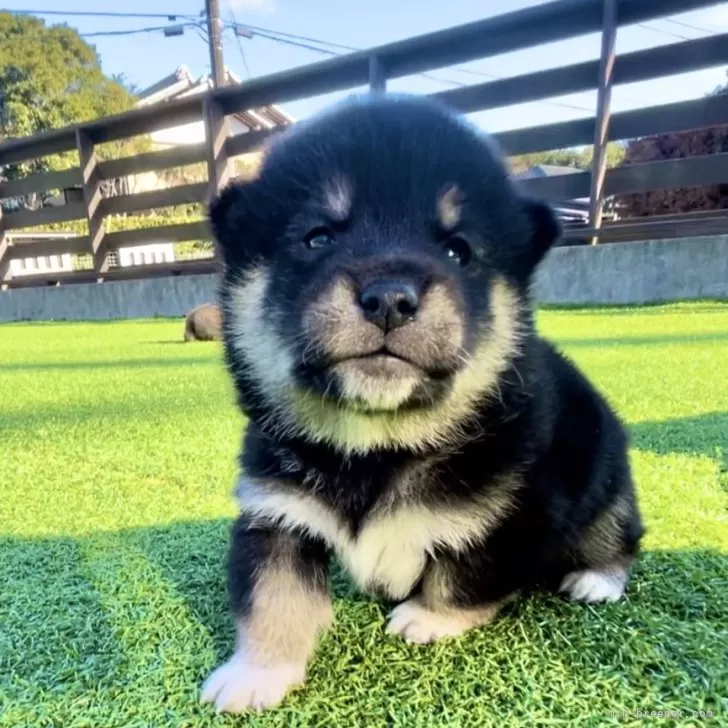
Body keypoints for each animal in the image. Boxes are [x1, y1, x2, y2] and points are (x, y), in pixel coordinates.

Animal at [199, 94, 644, 712]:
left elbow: (465, 575)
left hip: (605, 478)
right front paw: (255, 673)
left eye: (458, 250)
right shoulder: (276, 514)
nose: (390, 296)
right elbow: (272, 596)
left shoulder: (515, 516)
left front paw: (428, 618)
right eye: (318, 237)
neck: (378, 446)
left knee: (618, 534)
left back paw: (596, 579)